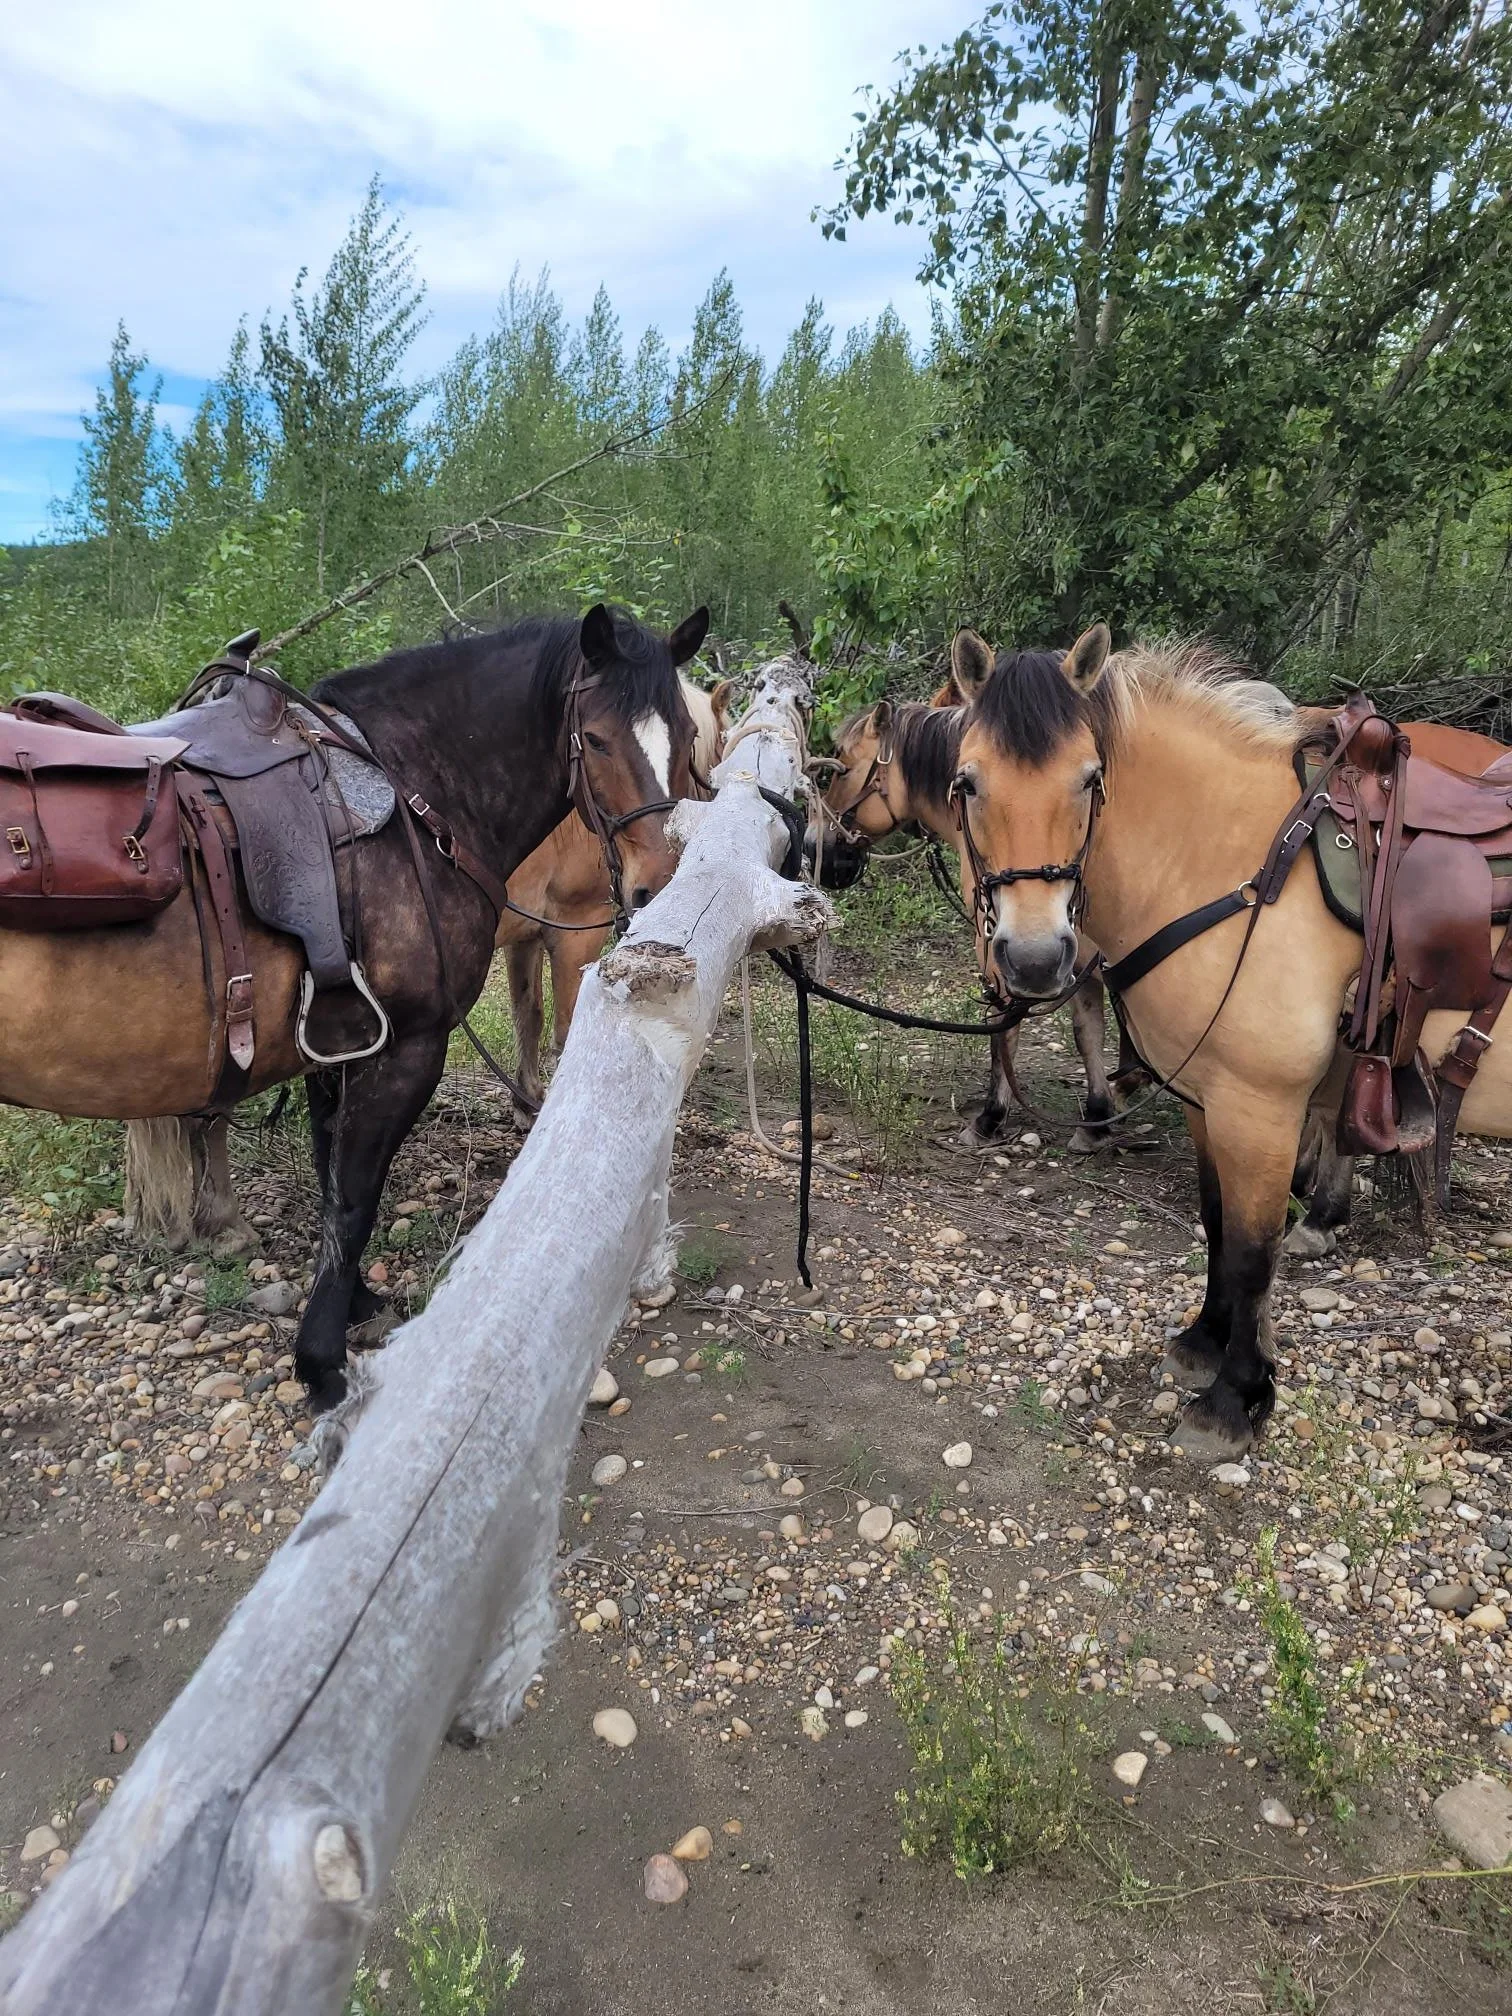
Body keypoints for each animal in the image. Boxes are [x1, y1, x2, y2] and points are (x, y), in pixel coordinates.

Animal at [4, 604, 706, 1407]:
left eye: (687, 737)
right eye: (596, 738)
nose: (655, 886)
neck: (417, 795)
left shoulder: (337, 1041)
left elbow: (329, 1170)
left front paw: (354, 1307)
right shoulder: (407, 1045)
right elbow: (355, 1194)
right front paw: (322, 1360)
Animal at [803, 690, 1122, 1152]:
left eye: (841, 766)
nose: (814, 847)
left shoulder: (1012, 950)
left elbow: (1006, 1026)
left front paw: (992, 1116)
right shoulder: (1074, 959)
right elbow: (1089, 1030)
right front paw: (1099, 1115)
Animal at [946, 626, 1512, 1462]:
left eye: (1090, 779)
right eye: (968, 783)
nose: (1038, 958)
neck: (1238, 872)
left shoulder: (1260, 1112)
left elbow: (1250, 1253)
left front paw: (1235, 1398)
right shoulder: (1206, 1103)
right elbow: (1215, 1223)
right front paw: (1203, 1345)